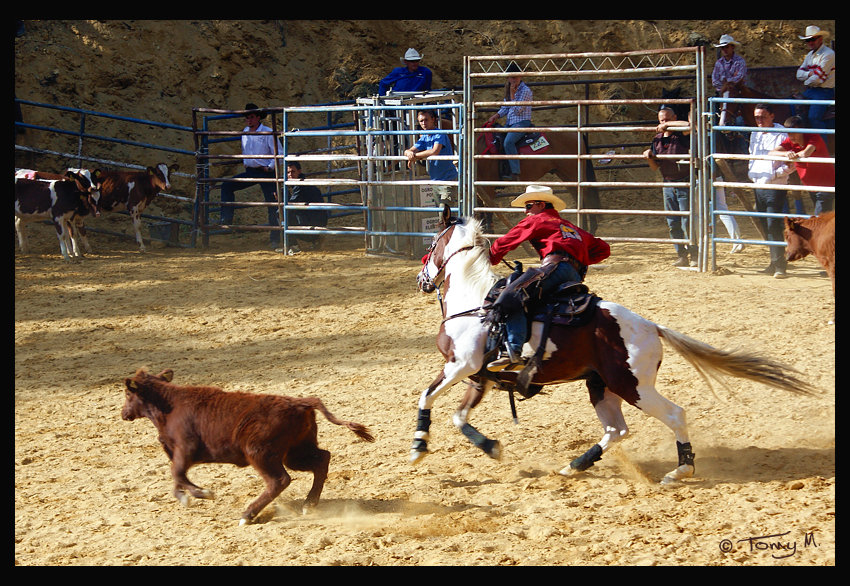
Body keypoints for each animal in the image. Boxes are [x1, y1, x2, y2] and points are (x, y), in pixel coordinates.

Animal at [121, 368, 372, 524]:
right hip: (296, 452)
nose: (124, 413)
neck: (170, 407)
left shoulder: (185, 450)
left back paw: (248, 514)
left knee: (279, 480)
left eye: (127, 394)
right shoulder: (179, 454)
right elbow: (177, 478)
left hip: (260, 454)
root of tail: (300, 403)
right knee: (322, 460)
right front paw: (186, 496)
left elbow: (177, 474)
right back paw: (308, 505)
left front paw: (202, 493)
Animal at [414, 208, 820, 482]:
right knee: (616, 430)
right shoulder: (477, 376)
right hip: (602, 385)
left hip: (632, 385)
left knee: (674, 415)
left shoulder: (461, 365)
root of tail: (652, 327)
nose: (421, 279)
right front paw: (490, 447)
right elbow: (459, 416)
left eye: (429, 245)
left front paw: (418, 446)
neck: (474, 300)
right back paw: (575, 465)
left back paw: (681, 470)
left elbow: (427, 396)